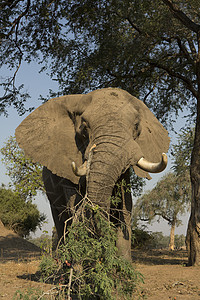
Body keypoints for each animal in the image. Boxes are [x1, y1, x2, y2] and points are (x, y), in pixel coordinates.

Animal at [14, 86, 170, 260]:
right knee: (60, 219)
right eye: (84, 128)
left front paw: (123, 265)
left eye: (136, 126)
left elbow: (125, 205)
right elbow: (77, 205)